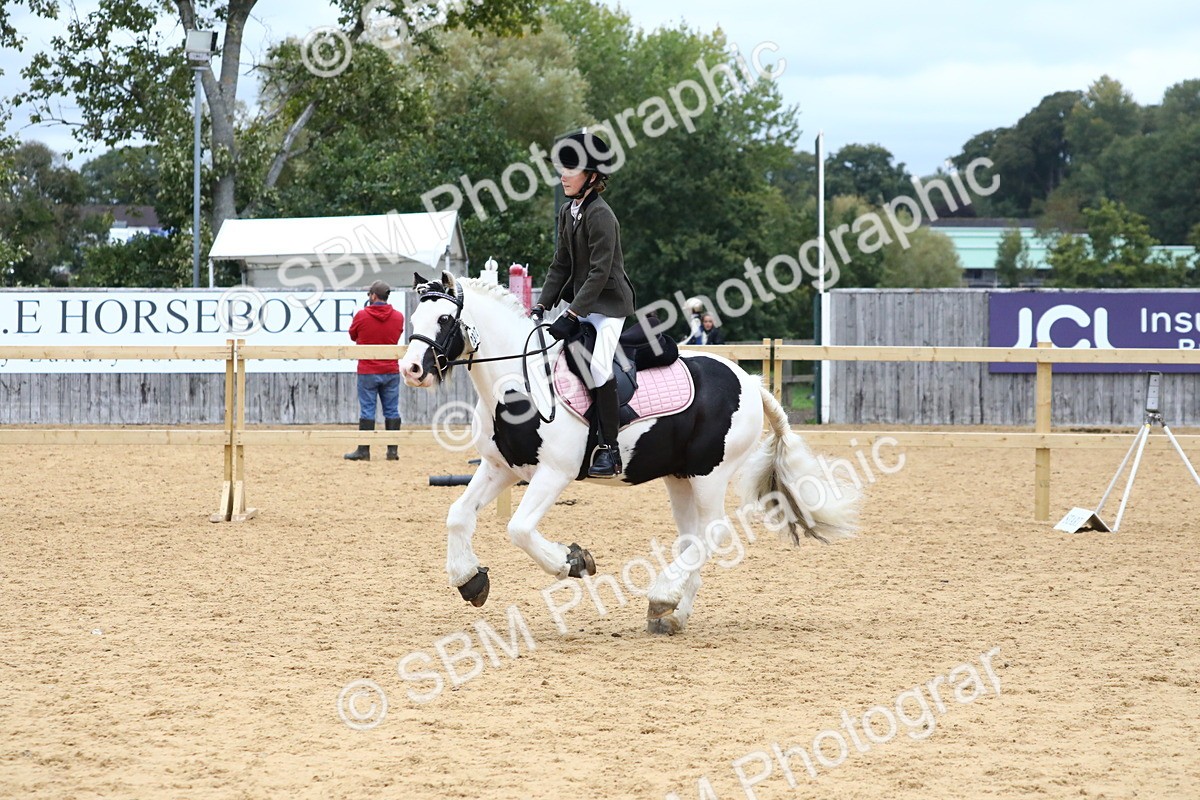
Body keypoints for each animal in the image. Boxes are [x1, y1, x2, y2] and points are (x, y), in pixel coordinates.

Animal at [399, 272, 858, 634]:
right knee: (693, 538)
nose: (411, 370)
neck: (519, 380)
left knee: (713, 533)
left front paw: (572, 561)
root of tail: (748, 380)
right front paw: (469, 580)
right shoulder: (501, 468)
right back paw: (671, 613)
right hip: (680, 478)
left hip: (710, 474)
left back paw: (663, 595)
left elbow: (520, 529)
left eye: (444, 319)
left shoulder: (553, 473)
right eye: (413, 320)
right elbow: (458, 515)